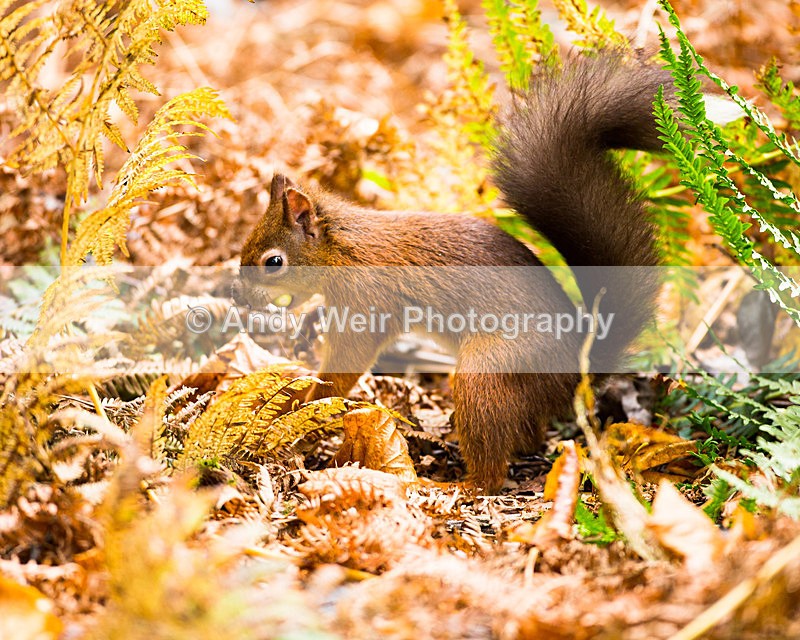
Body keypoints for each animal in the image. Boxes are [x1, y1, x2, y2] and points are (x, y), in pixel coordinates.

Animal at [233, 53, 673, 491]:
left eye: (273, 262)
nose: (240, 297)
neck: (342, 249)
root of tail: (576, 370)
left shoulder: (368, 298)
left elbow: (348, 360)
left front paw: (309, 399)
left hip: (488, 373)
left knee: (491, 472)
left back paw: (454, 485)